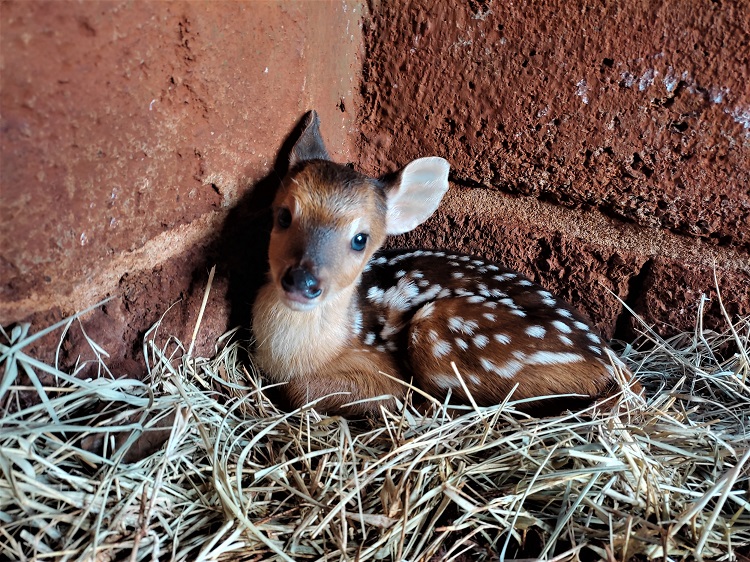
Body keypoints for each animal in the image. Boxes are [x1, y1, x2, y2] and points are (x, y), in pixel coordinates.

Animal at [253, 110, 640, 416]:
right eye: (283, 216)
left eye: (360, 239)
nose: (302, 282)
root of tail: (611, 364)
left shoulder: (384, 375)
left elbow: (301, 391)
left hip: (444, 329)